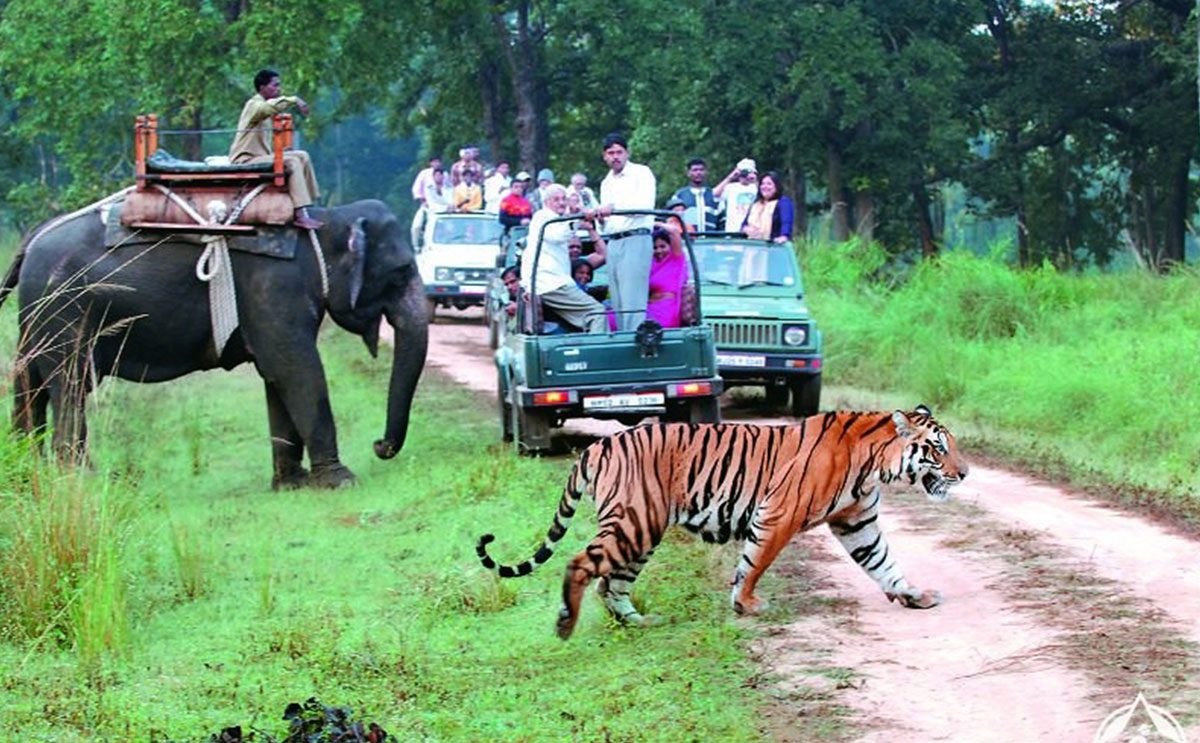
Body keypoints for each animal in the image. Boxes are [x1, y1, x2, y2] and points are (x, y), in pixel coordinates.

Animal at [0, 198, 429, 487]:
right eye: (400, 271)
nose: (380, 445)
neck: (326, 219)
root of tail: (33, 238)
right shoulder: (275, 285)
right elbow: (296, 368)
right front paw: (341, 481)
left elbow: (276, 375)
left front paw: (292, 484)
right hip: (65, 309)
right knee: (71, 384)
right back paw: (81, 479)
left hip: (36, 316)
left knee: (30, 385)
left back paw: (29, 470)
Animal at [475, 408, 964, 638]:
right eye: (937, 449)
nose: (964, 473)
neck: (876, 463)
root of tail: (598, 446)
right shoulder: (777, 514)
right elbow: (755, 562)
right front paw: (746, 604)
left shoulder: (856, 522)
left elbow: (883, 562)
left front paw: (914, 595)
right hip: (636, 522)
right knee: (581, 566)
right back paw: (565, 624)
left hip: (641, 531)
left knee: (610, 583)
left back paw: (637, 623)